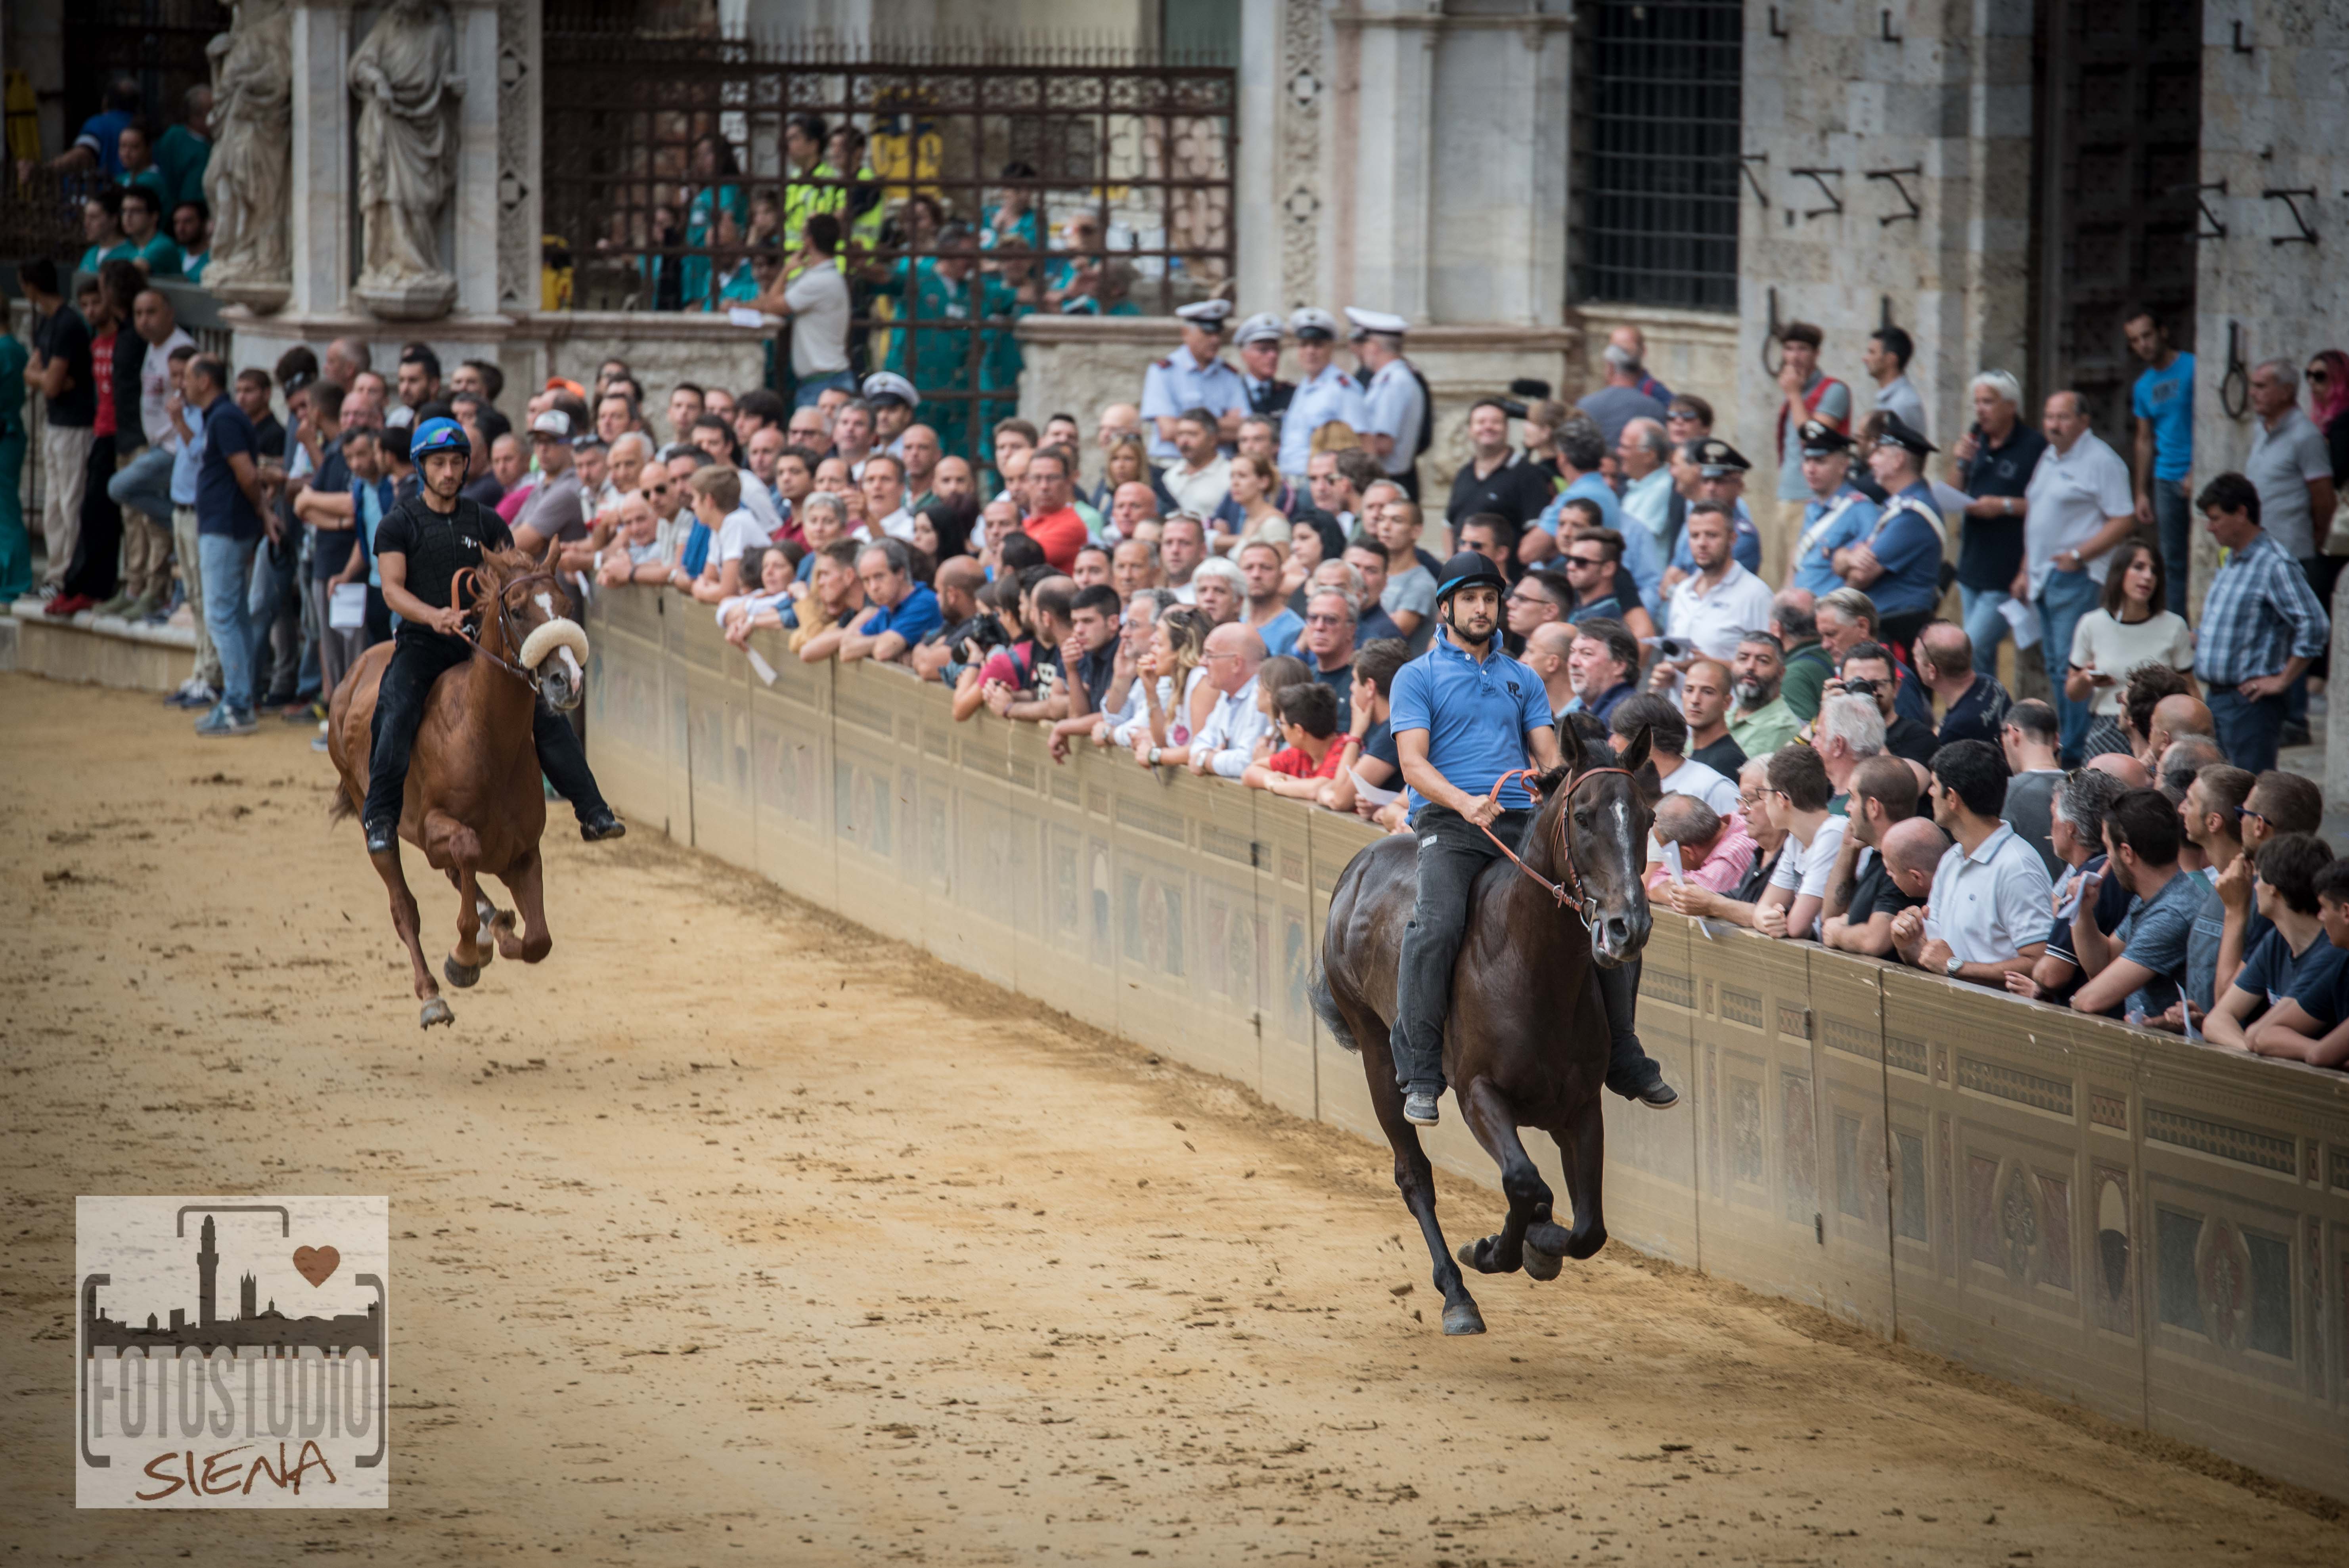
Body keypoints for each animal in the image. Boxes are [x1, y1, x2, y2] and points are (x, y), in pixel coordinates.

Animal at [324, 549, 587, 1028]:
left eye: (567, 606)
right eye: (517, 609)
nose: (568, 679)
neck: (484, 737)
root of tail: (352, 675)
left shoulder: (522, 852)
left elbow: (538, 940)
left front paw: (499, 933)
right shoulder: (433, 831)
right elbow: (464, 850)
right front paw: (464, 956)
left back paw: (492, 924)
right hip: (372, 812)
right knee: (404, 906)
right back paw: (433, 995)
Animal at [1315, 723, 1663, 1333]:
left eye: (1646, 817)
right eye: (1584, 817)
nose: (1629, 926)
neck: (1529, 965)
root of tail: (1360, 864)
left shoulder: (1580, 1106)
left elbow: (1589, 1228)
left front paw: (1541, 1244)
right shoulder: (1480, 1094)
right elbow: (1523, 1181)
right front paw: (1491, 1250)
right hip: (1377, 1055)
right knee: (1414, 1174)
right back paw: (1457, 1296)